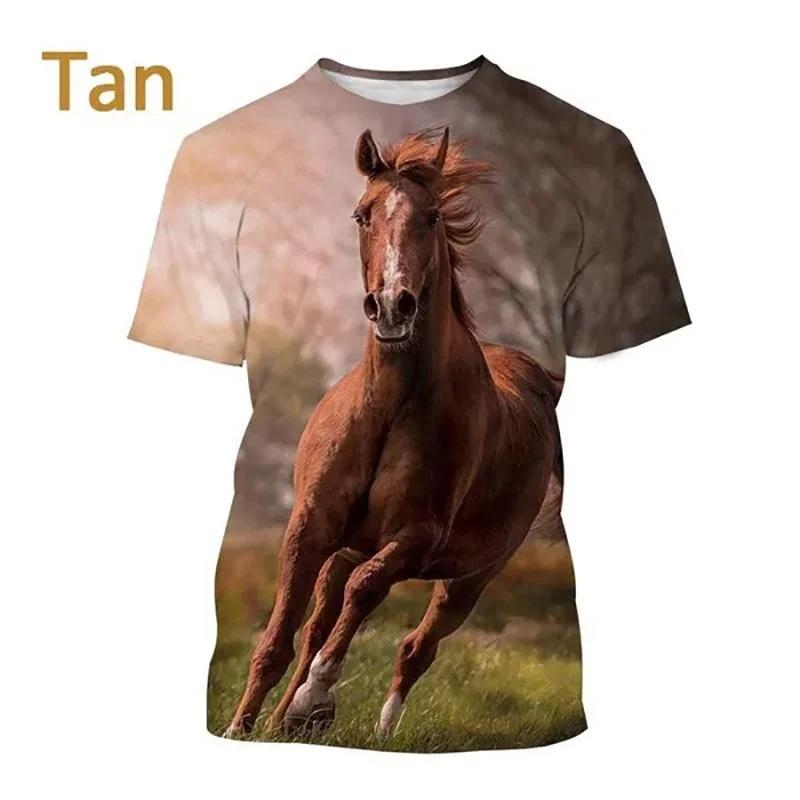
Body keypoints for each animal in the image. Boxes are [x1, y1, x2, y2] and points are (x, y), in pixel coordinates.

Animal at [224, 126, 562, 740]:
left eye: (431, 216)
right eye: (362, 215)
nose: (391, 306)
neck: (388, 409)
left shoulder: (416, 537)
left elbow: (366, 594)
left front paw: (315, 698)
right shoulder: (310, 526)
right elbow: (278, 640)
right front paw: (245, 727)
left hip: (469, 579)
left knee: (414, 647)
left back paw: (375, 730)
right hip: (350, 547)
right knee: (324, 618)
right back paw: (285, 722)